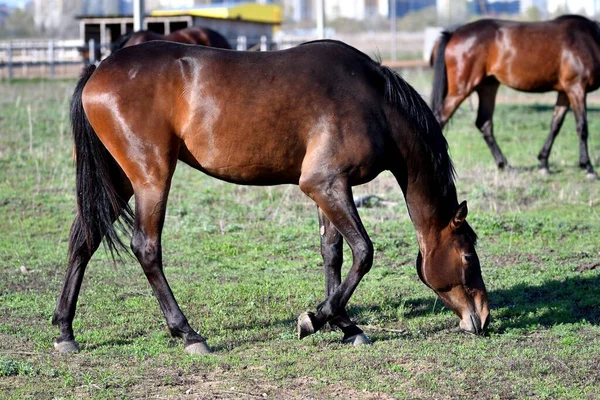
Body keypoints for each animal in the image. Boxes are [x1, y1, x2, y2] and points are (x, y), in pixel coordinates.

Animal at [54, 39, 490, 354]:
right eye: (469, 258)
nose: (483, 319)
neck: (374, 102)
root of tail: (98, 69)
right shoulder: (324, 184)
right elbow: (363, 253)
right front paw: (316, 319)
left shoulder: (330, 188)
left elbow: (333, 254)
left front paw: (345, 325)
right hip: (151, 178)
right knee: (146, 248)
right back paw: (189, 333)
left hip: (119, 181)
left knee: (84, 239)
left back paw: (64, 331)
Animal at [432, 15, 600, 178]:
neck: (589, 39)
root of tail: (453, 33)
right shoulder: (576, 88)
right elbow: (582, 127)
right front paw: (588, 167)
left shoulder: (564, 92)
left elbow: (555, 126)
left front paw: (543, 163)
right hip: (461, 89)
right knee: (441, 119)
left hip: (488, 87)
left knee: (484, 123)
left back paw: (504, 165)